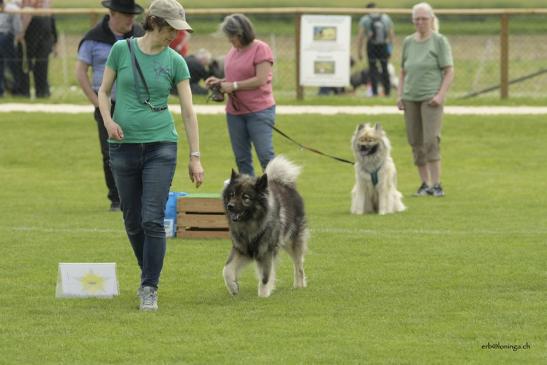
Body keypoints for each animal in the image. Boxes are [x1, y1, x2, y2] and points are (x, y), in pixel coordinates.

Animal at [222, 155, 308, 298]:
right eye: (232, 194)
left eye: (245, 197)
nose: (230, 206)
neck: (250, 225)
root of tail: (285, 185)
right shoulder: (243, 249)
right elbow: (227, 269)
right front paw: (233, 287)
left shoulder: (266, 251)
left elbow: (265, 277)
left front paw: (263, 295)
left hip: (292, 241)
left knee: (298, 264)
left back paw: (299, 285)